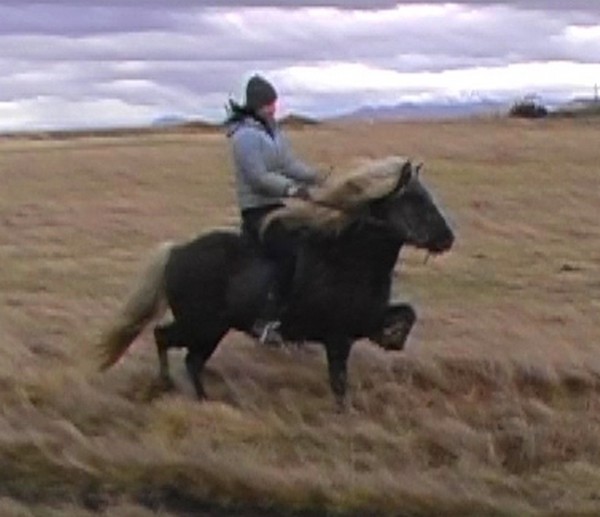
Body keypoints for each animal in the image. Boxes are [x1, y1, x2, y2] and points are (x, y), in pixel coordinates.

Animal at [98, 157, 454, 408]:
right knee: (163, 337)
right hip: (200, 325)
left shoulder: (364, 322)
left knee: (191, 361)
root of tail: (176, 251)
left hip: (212, 330)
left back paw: (203, 402)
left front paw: (393, 338)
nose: (448, 239)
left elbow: (407, 314)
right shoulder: (338, 338)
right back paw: (165, 385)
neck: (348, 258)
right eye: (415, 200)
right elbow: (339, 384)